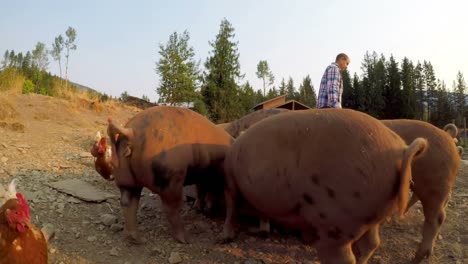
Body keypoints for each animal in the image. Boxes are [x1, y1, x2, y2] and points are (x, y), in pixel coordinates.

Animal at [104, 105, 232, 243]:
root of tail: (131, 132)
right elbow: (209, 191)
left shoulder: (203, 176)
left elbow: (203, 191)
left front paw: (201, 209)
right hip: (172, 178)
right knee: (171, 207)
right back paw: (185, 239)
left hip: (126, 178)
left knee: (128, 202)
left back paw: (135, 239)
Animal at [219, 108, 428, 262]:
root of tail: (402, 150)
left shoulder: (229, 177)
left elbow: (231, 206)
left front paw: (226, 238)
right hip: (371, 215)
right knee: (372, 243)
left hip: (337, 219)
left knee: (343, 256)